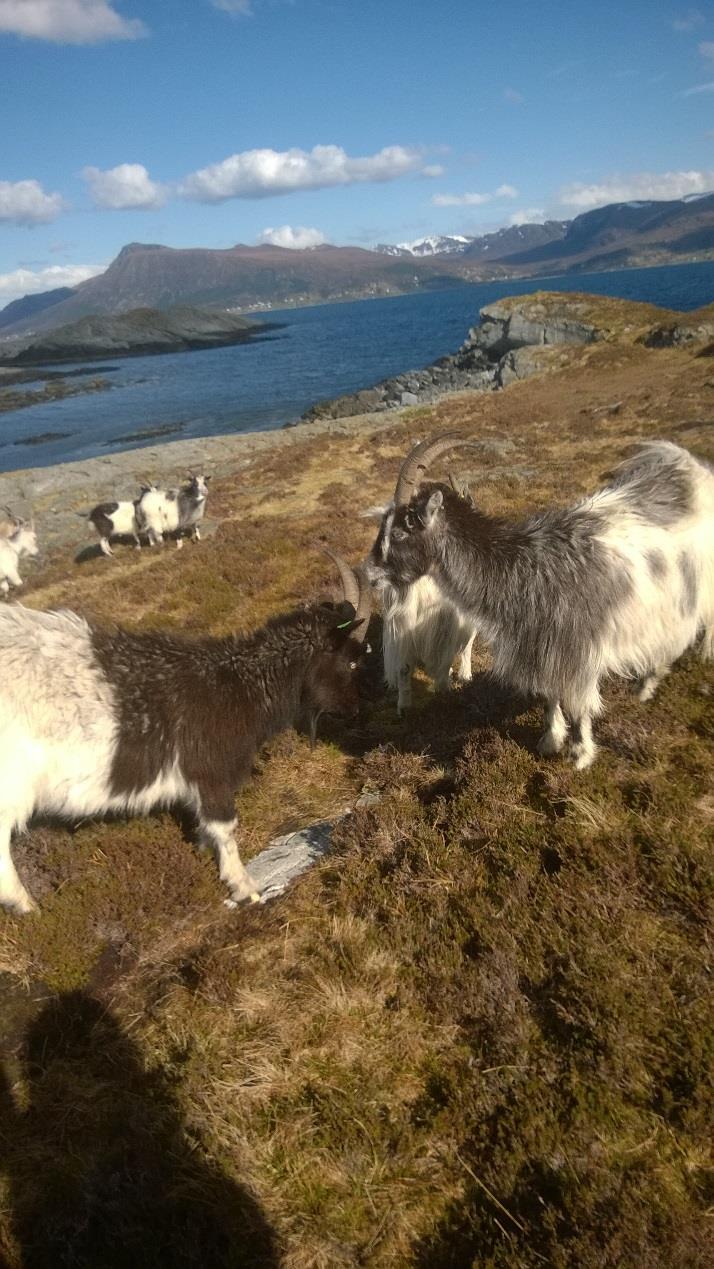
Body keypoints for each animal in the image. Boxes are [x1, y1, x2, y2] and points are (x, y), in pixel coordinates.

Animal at [0, 555, 367, 913]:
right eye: (350, 660)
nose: (355, 709)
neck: (236, 685)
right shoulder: (210, 772)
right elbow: (225, 827)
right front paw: (245, 888)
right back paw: (27, 906)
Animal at [367, 436, 714, 766]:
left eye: (399, 533)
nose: (370, 572)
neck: (525, 567)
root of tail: (692, 468)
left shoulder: (576, 651)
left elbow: (578, 704)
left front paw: (580, 754)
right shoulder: (545, 649)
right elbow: (551, 697)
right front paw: (550, 740)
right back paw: (645, 686)